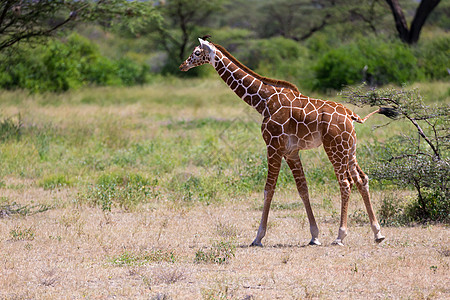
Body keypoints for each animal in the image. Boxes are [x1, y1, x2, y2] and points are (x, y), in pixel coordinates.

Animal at [179, 37, 390, 245]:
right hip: (349, 149)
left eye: (196, 52)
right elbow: (303, 188)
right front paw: (314, 235)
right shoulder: (291, 152)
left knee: (345, 183)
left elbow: (268, 189)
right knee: (362, 179)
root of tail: (351, 115)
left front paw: (258, 237)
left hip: (334, 147)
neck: (263, 101)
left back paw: (340, 235)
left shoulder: (273, 146)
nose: (183, 65)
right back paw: (377, 233)